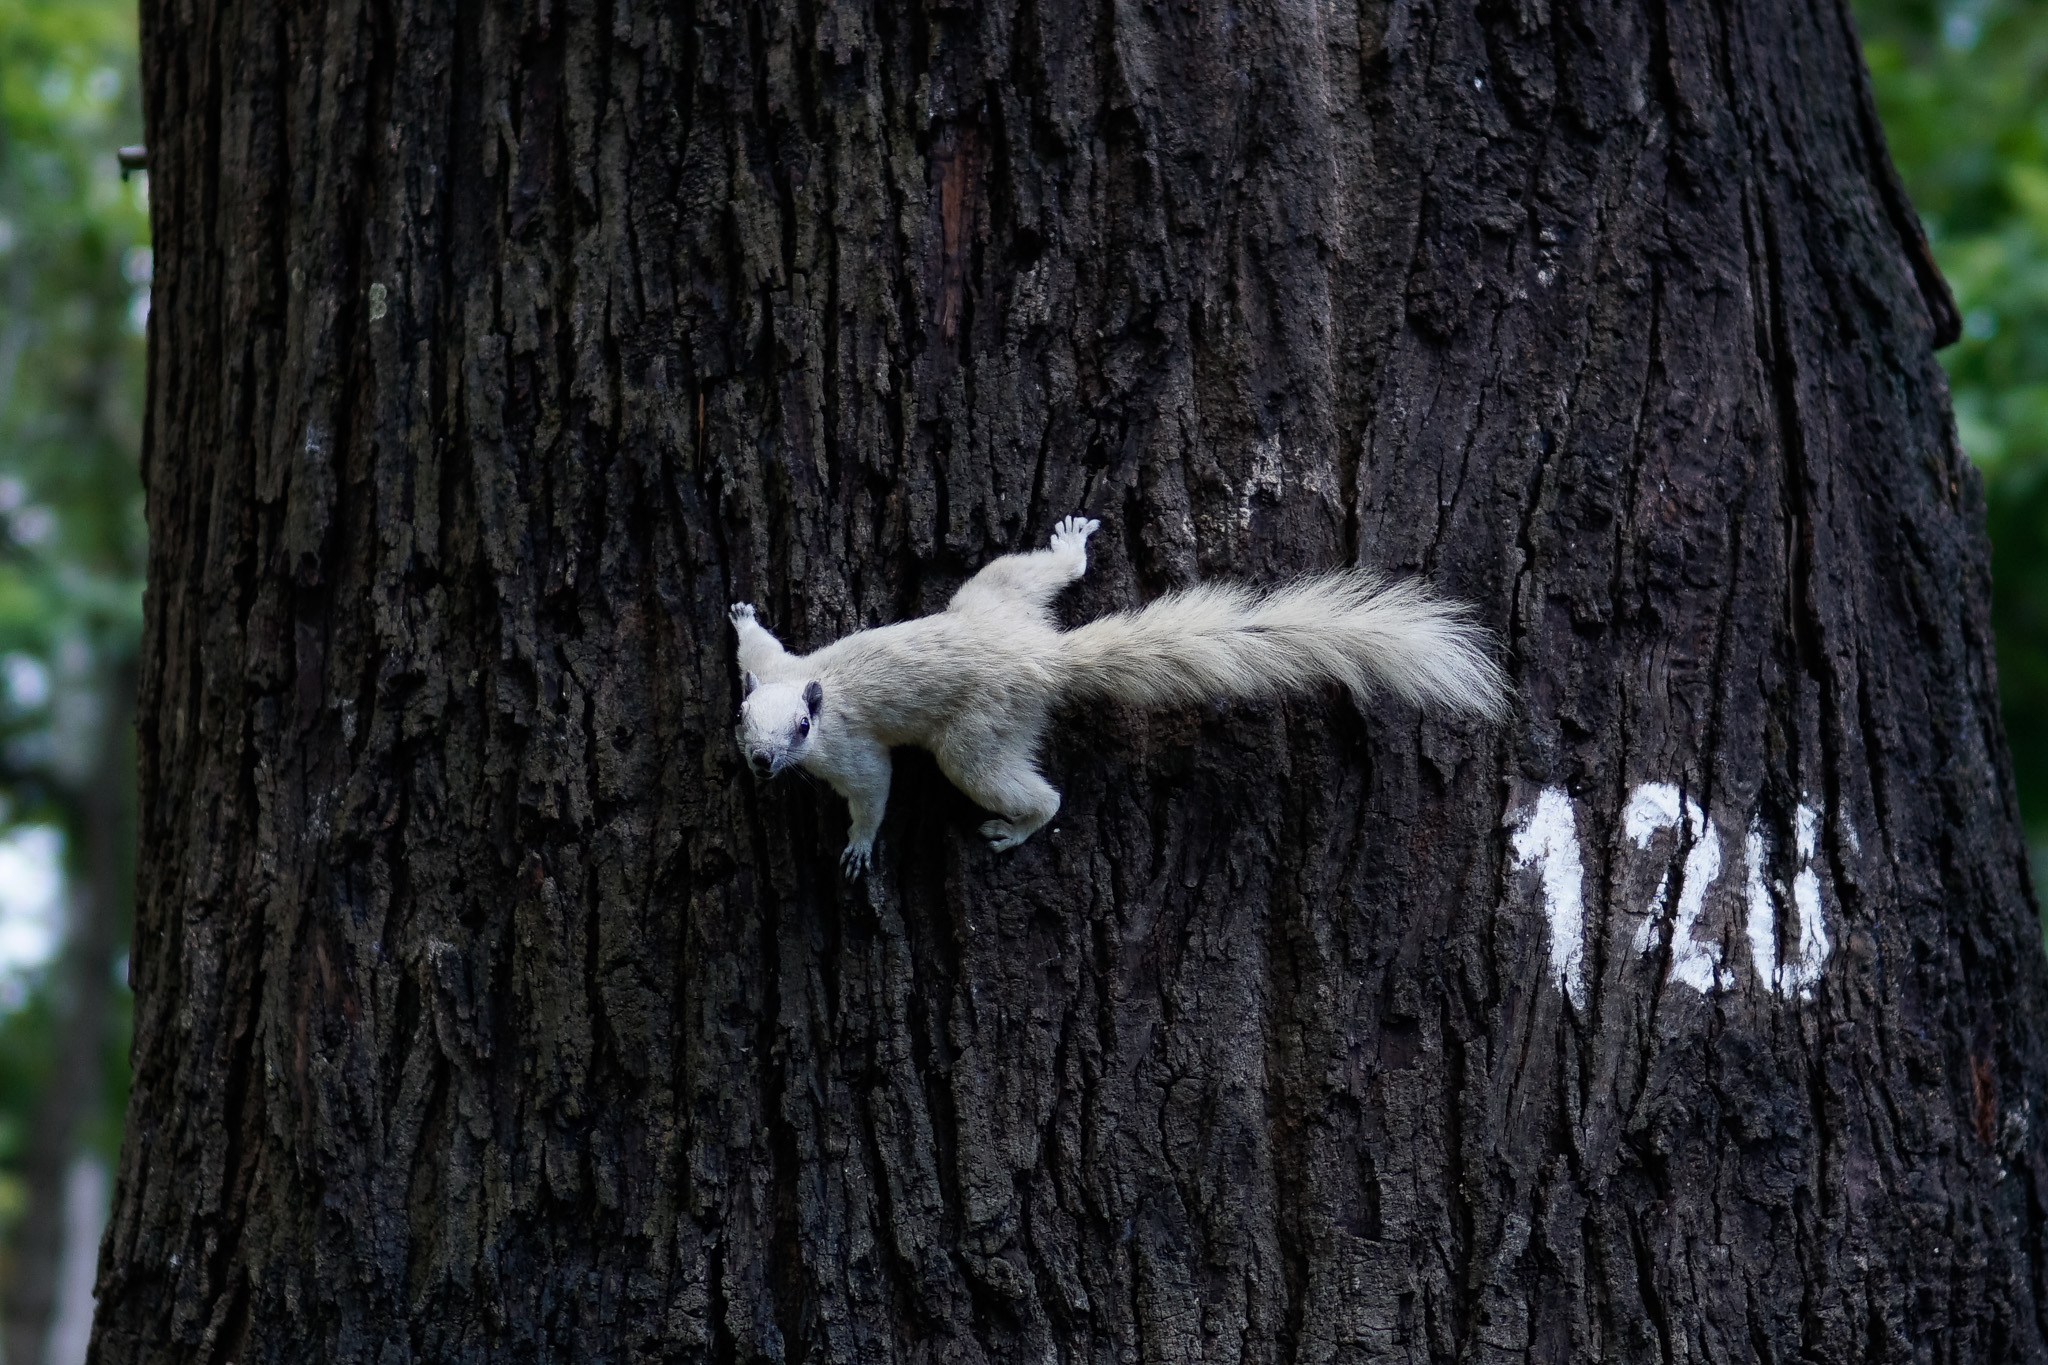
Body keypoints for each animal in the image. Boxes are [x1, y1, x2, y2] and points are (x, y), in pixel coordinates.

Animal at [733, 511, 1507, 875]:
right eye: (744, 720)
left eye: (801, 730)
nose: (761, 765)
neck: (820, 690)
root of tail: (1044, 657)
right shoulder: (781, 664)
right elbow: (760, 647)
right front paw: (740, 616)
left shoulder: (849, 748)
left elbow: (873, 789)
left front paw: (860, 845)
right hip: (995, 594)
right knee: (1028, 572)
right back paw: (1071, 549)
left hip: (976, 736)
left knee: (1022, 788)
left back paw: (1019, 826)